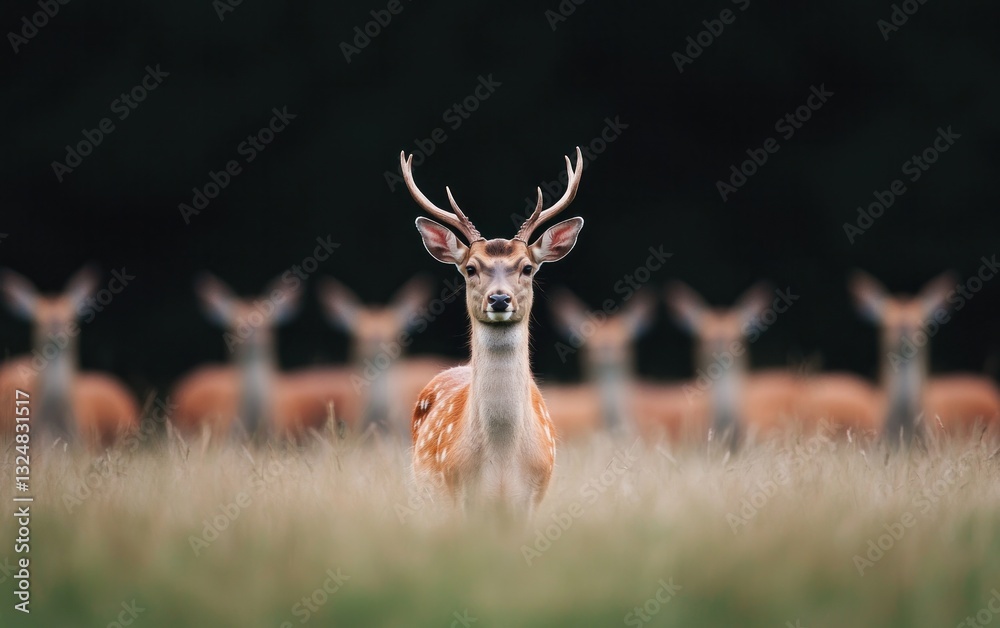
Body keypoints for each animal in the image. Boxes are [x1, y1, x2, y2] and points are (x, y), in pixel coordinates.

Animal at [400, 147, 585, 517]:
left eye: (527, 268)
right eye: (471, 268)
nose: (499, 299)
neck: (501, 463)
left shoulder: (532, 498)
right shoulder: (456, 493)